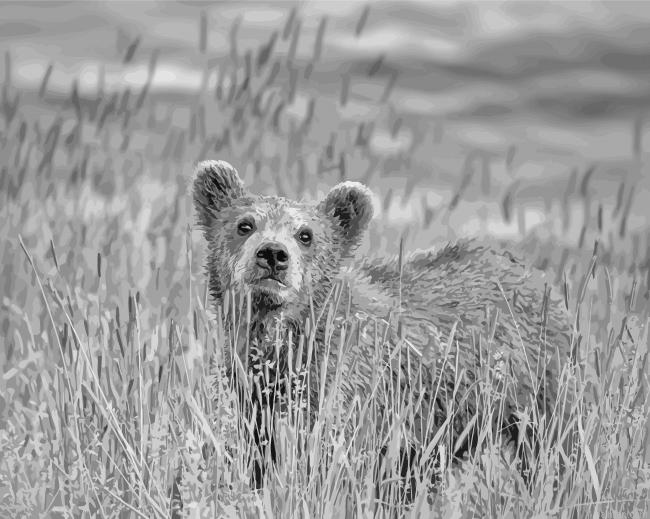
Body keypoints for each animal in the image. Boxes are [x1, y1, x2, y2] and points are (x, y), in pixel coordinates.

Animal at [192, 159, 575, 496]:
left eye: (305, 234)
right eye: (244, 224)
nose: (273, 254)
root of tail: (530, 271)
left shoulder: (347, 390)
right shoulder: (254, 396)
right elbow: (258, 456)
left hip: (535, 384)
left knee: (553, 447)